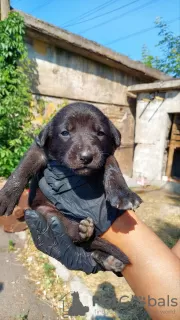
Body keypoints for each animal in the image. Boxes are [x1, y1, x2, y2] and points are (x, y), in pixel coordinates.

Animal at [0, 102, 142, 272]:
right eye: (65, 132)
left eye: (100, 133)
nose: (86, 157)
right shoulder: (38, 150)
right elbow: (23, 168)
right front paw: (6, 196)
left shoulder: (105, 154)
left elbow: (112, 165)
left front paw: (123, 194)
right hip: (48, 213)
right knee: (75, 236)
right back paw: (86, 236)